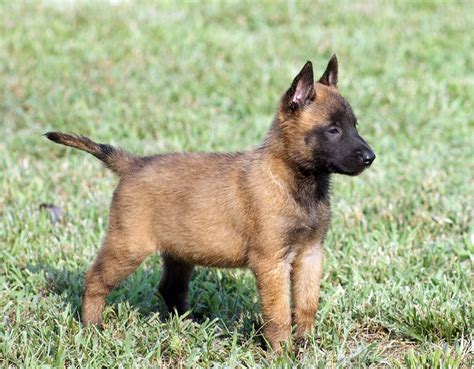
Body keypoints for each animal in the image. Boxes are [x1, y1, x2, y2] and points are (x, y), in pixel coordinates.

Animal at [46, 55, 376, 350]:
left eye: (355, 126)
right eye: (333, 130)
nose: (370, 157)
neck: (292, 181)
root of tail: (135, 163)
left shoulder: (311, 253)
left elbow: (306, 304)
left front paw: (306, 343)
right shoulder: (272, 262)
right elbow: (279, 312)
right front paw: (282, 351)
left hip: (178, 251)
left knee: (170, 289)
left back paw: (189, 324)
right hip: (128, 246)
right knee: (94, 281)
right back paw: (92, 326)